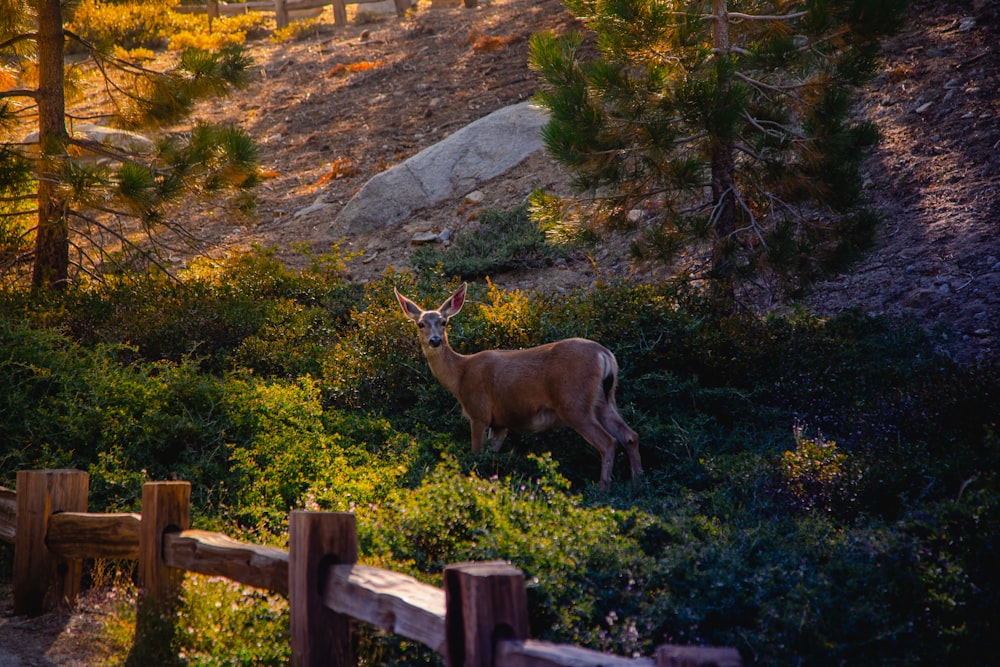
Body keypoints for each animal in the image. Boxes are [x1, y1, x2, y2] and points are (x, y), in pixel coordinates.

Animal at [394, 282, 644, 490]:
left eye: (444, 322)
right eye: (421, 324)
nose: (435, 340)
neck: (460, 375)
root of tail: (605, 355)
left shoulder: (479, 412)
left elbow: (476, 454)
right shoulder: (500, 423)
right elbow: (491, 455)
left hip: (574, 401)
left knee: (608, 442)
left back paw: (603, 489)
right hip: (605, 398)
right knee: (630, 435)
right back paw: (638, 483)